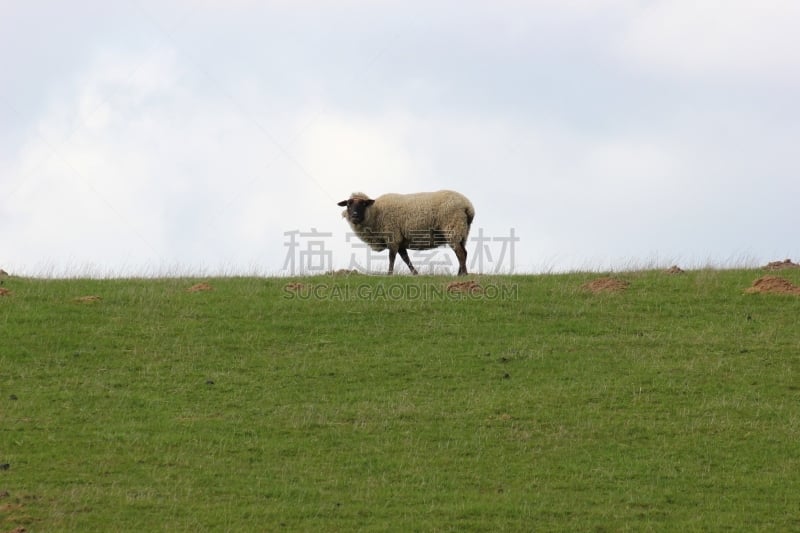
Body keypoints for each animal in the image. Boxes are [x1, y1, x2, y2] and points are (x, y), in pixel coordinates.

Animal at [338, 190, 476, 274]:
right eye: (348, 204)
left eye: (363, 204)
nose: (354, 215)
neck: (375, 213)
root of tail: (468, 206)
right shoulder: (400, 240)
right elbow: (405, 258)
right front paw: (415, 273)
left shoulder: (392, 236)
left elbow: (391, 257)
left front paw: (389, 274)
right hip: (463, 231)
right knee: (464, 252)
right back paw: (460, 274)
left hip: (453, 228)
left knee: (460, 253)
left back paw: (464, 274)